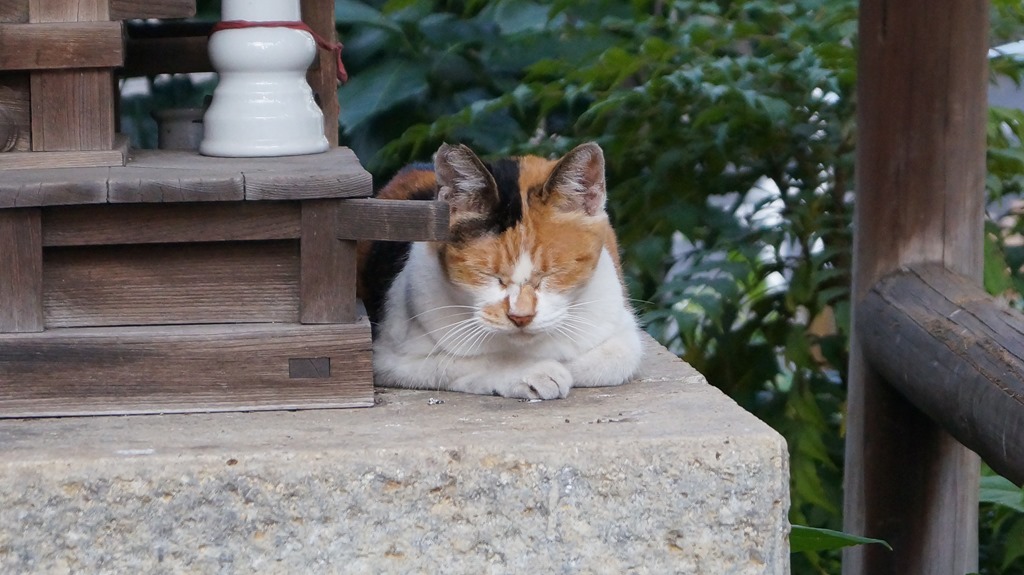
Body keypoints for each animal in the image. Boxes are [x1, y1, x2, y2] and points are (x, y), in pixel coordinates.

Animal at [358, 142, 638, 399]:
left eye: (551, 273)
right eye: (487, 274)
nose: (521, 317)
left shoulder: (624, 333)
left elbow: (607, 360)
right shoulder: (389, 357)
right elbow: (465, 361)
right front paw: (534, 371)